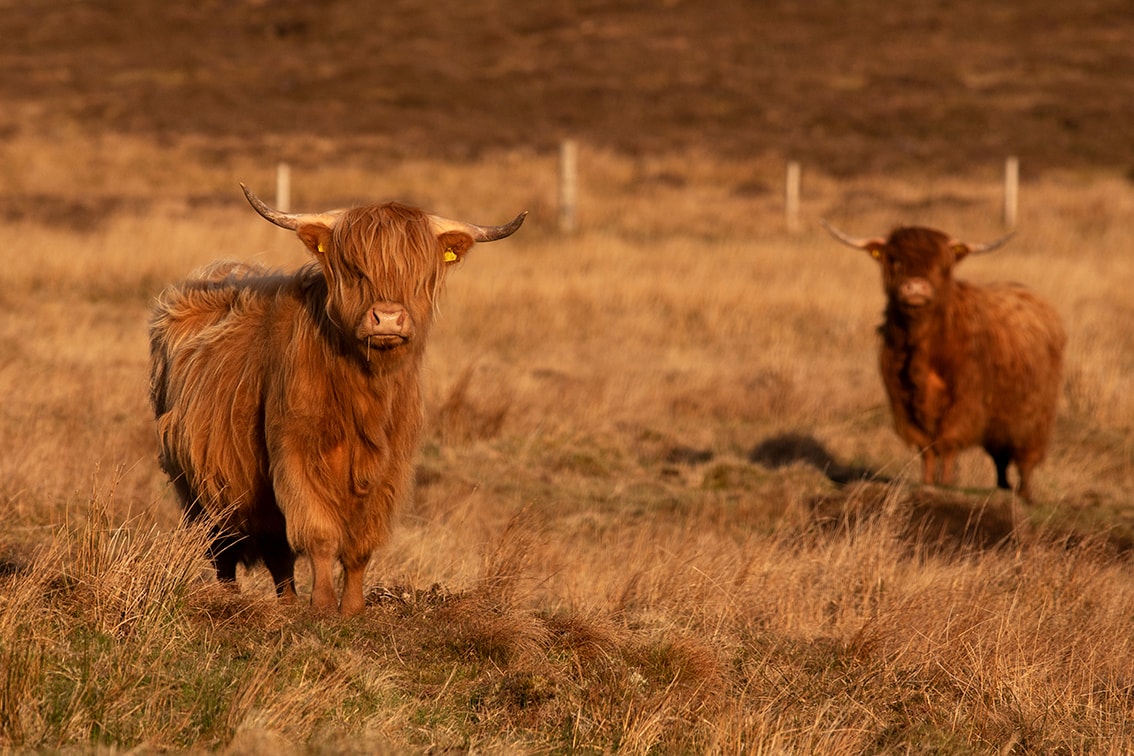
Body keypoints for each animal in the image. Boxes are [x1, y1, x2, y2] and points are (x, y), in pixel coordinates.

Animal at [148, 185, 523, 616]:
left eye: (416, 274)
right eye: (356, 269)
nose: (388, 318)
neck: (364, 391)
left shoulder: (390, 467)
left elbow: (361, 545)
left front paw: (353, 608)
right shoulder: (295, 452)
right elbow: (319, 532)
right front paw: (325, 605)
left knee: (275, 551)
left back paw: (288, 602)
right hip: (201, 483)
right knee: (226, 546)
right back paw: (232, 598)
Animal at [821, 222, 1065, 498]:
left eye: (941, 263)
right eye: (894, 260)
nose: (916, 286)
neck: (923, 348)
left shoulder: (965, 400)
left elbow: (948, 442)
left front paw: (947, 483)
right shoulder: (902, 402)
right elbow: (926, 448)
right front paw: (927, 482)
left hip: (1033, 416)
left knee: (1025, 458)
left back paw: (1024, 494)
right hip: (1000, 421)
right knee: (1000, 457)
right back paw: (1002, 487)